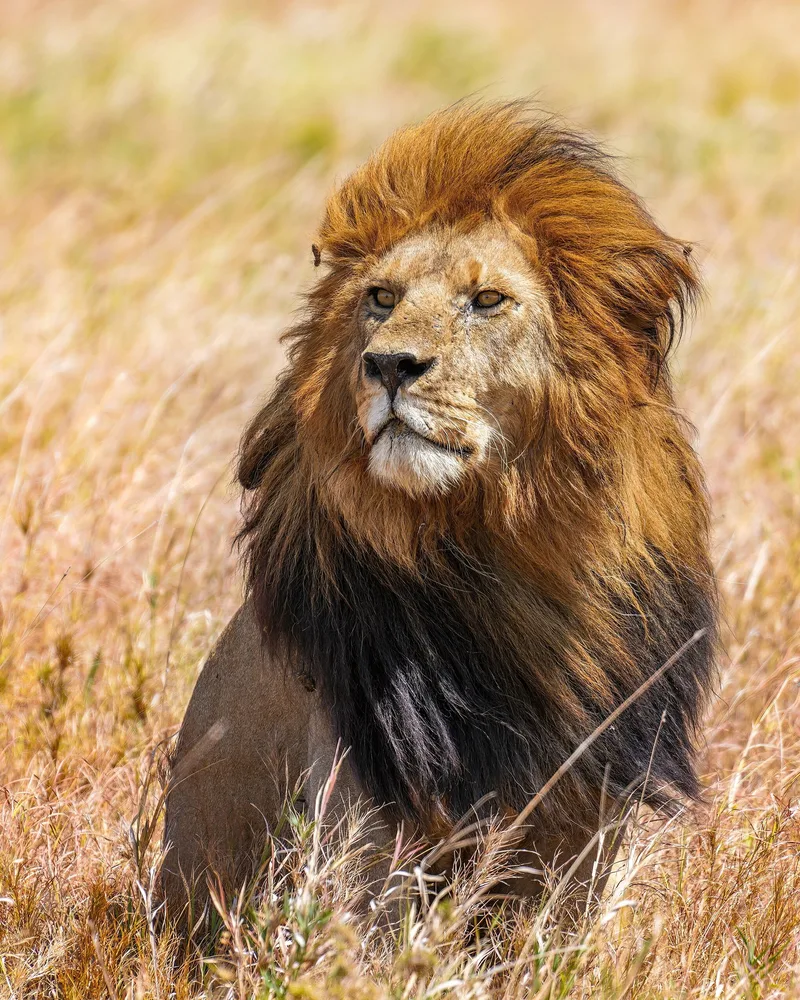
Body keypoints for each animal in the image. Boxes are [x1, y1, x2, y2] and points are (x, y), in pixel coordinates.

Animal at [161, 101, 717, 925]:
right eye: (381, 298)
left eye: (486, 301)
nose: (389, 365)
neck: (505, 546)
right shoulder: (366, 808)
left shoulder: (584, 817)